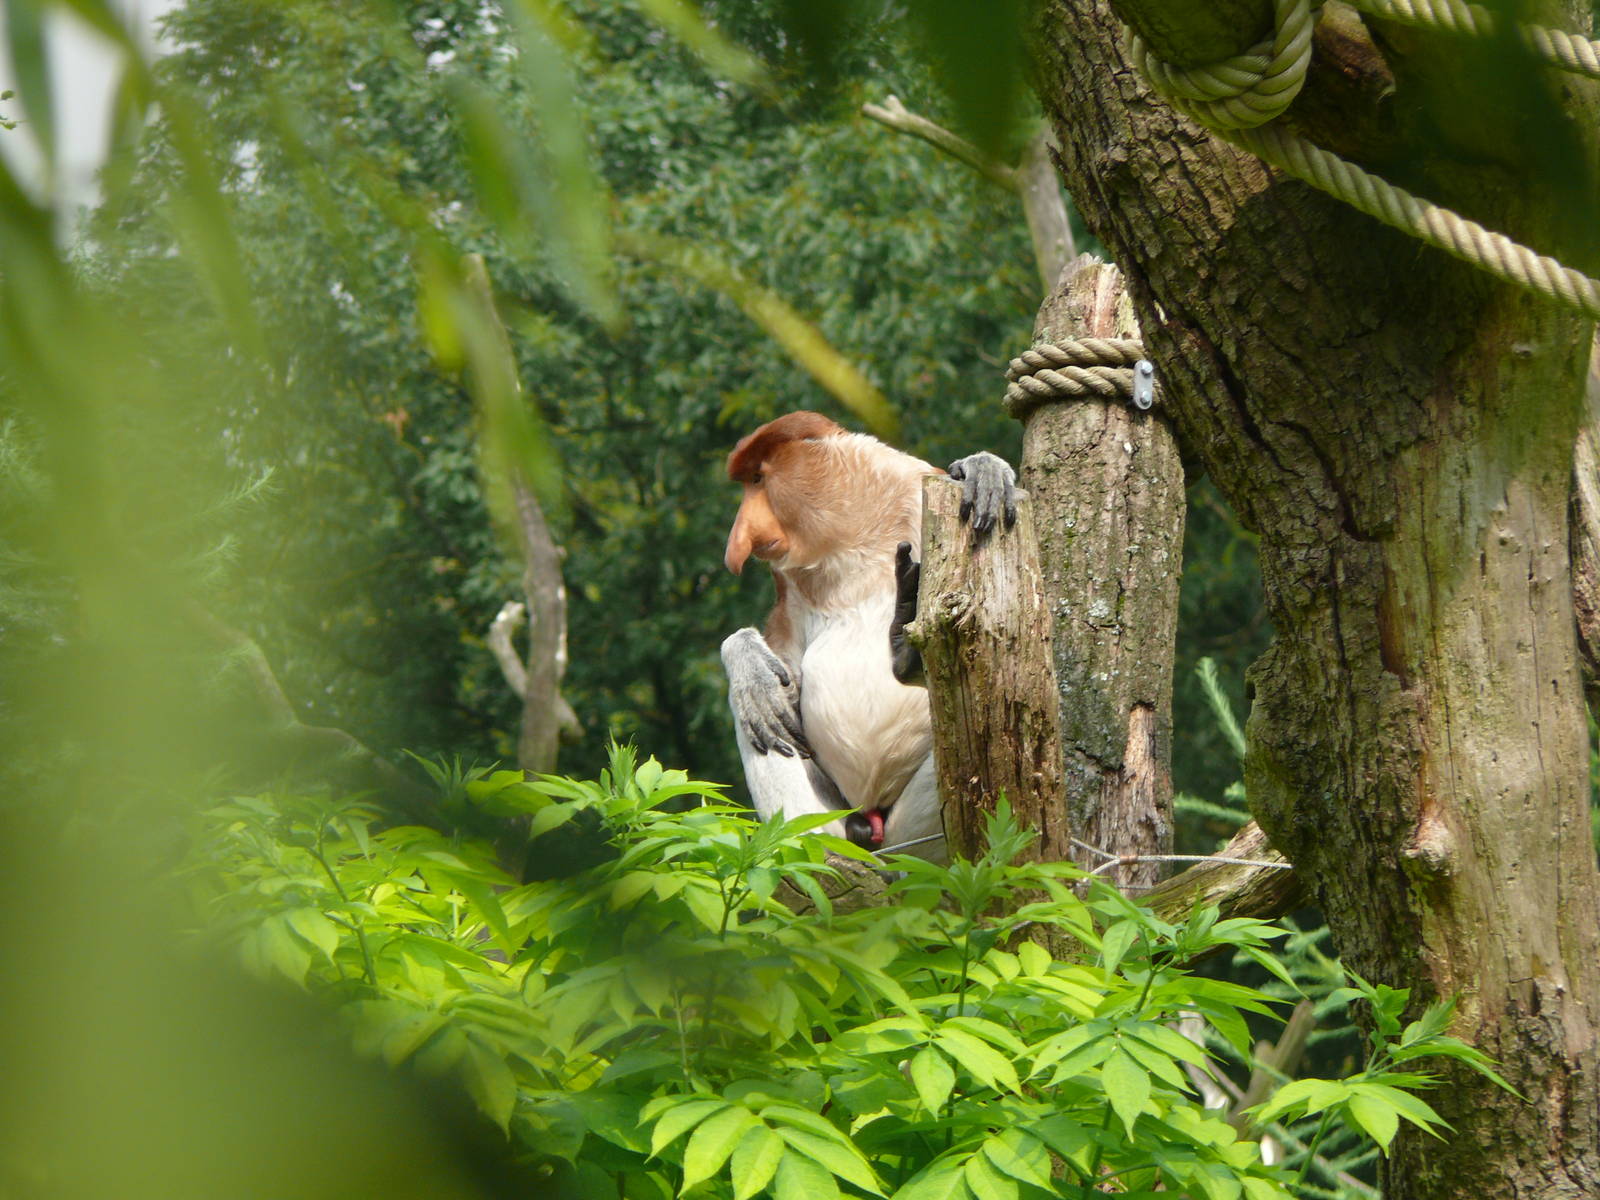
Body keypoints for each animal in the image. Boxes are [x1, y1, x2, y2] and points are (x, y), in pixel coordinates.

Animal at [719, 411, 1015, 860]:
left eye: (757, 479)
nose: (736, 546)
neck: (851, 537)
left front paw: (983, 470)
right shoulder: (788, 587)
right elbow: (783, 672)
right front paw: (747, 662)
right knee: (761, 719)